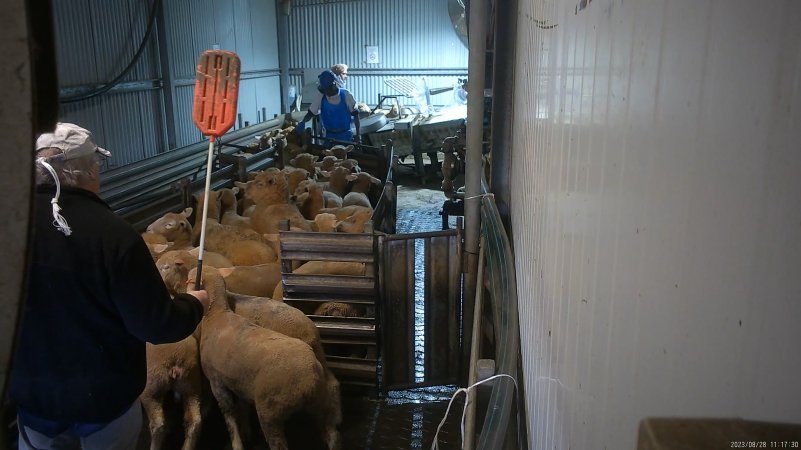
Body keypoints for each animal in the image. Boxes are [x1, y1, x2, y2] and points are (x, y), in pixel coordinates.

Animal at [192, 268, 340, 450]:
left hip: (270, 410)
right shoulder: (239, 380)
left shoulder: (217, 380)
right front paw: (246, 432)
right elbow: (242, 406)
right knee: (331, 422)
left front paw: (238, 442)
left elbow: (229, 414)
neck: (218, 312)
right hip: (319, 392)